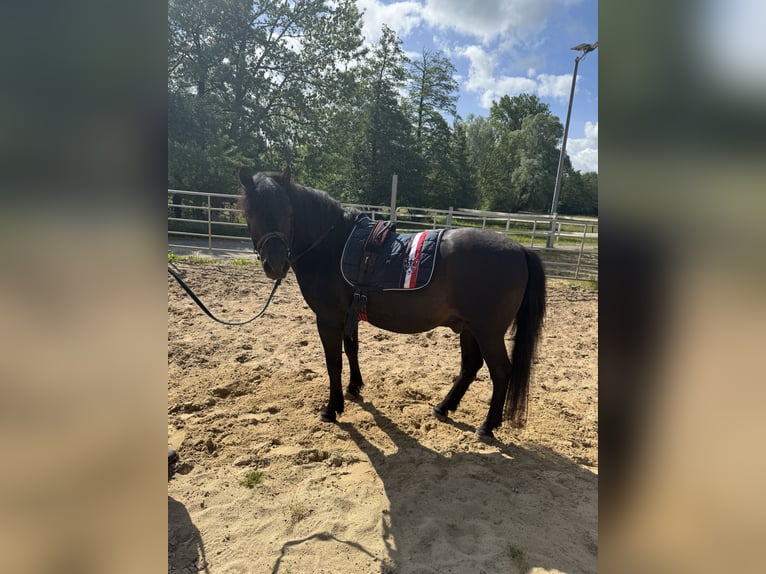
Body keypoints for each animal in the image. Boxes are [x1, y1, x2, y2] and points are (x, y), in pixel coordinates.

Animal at [239, 168, 546, 439]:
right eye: (251, 213)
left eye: (288, 213)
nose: (275, 265)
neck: (331, 245)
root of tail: (520, 249)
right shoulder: (349, 315)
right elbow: (352, 349)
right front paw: (354, 388)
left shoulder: (328, 318)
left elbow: (333, 362)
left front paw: (332, 408)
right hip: (469, 328)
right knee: (471, 366)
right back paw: (443, 407)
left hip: (488, 332)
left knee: (501, 372)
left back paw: (487, 426)